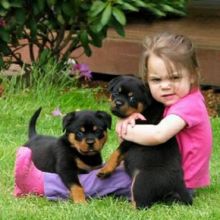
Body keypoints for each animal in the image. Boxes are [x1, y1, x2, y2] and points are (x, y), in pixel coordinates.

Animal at [98, 76, 192, 209]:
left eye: (132, 98)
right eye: (116, 93)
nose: (118, 103)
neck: (146, 109)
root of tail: (179, 184)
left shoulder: (132, 136)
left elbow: (116, 153)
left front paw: (105, 170)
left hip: (141, 181)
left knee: (141, 204)